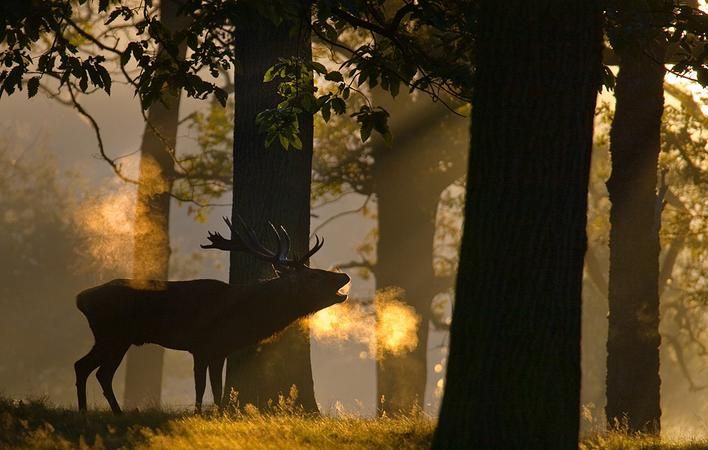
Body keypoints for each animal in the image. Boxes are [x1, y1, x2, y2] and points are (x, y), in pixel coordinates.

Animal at [73, 215, 350, 414]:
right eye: (313, 276)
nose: (344, 276)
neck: (240, 316)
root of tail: (81, 299)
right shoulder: (201, 346)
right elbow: (201, 386)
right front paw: (198, 414)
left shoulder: (220, 350)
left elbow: (216, 388)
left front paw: (220, 413)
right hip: (113, 336)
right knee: (93, 370)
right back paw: (101, 412)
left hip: (115, 338)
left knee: (90, 369)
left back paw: (95, 412)